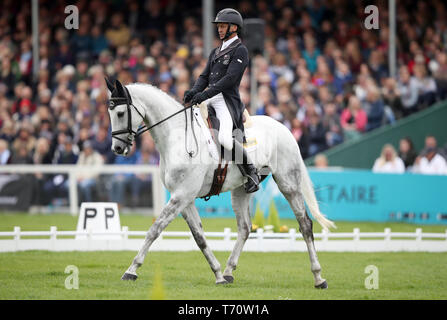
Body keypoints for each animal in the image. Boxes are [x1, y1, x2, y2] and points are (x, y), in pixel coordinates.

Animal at [106, 79, 336, 288]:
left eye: (120, 113)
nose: (117, 148)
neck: (177, 136)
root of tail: (283, 127)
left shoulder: (181, 196)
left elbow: (155, 229)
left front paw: (131, 270)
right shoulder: (185, 199)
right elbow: (199, 237)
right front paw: (217, 274)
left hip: (288, 183)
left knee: (305, 224)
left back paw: (319, 277)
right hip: (241, 190)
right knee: (245, 228)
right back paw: (228, 272)